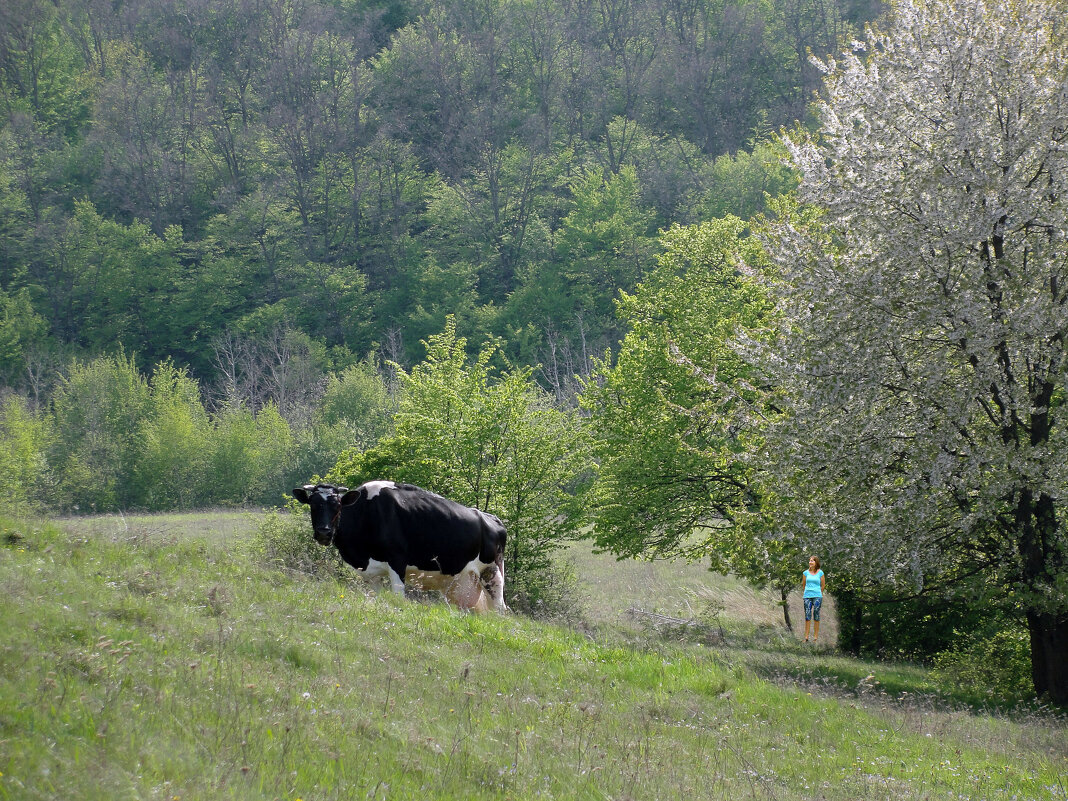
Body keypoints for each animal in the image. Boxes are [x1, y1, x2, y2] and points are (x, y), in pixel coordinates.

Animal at [292, 482, 508, 615]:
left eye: (337, 506)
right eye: (313, 505)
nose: (324, 532)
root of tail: (491, 518)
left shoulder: (397, 562)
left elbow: (398, 597)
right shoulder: (372, 573)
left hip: (492, 572)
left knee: (499, 610)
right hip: (460, 583)